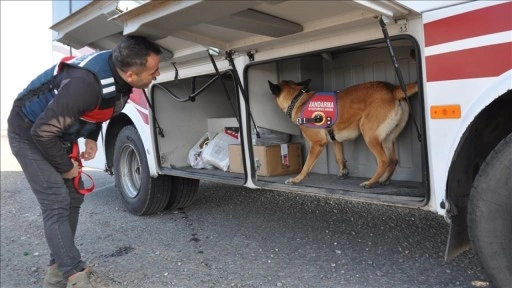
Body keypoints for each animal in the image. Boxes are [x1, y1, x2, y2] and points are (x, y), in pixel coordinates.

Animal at [268, 79, 416, 188]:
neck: (298, 99)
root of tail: (392, 89)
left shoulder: (317, 144)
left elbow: (306, 165)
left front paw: (296, 179)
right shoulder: (336, 140)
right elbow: (339, 158)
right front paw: (343, 172)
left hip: (369, 135)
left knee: (384, 160)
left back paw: (370, 182)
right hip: (387, 139)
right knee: (393, 160)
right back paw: (385, 180)